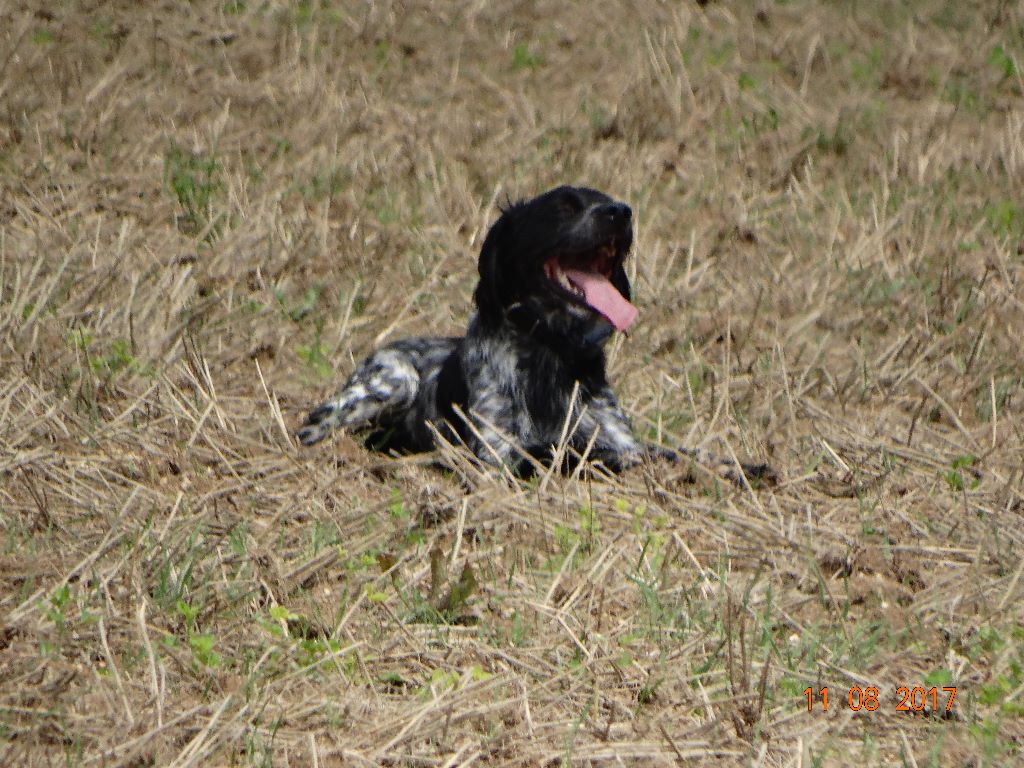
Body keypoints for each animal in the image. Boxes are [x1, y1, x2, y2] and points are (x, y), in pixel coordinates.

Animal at [297, 186, 774, 484]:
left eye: (611, 201)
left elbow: (671, 452)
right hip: (392, 383)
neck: (552, 352)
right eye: (563, 208)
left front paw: (738, 467)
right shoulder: (498, 459)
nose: (621, 212)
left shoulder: (617, 437)